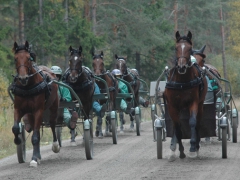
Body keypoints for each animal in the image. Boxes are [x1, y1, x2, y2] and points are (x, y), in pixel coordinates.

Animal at [164, 30, 207, 160]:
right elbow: (177, 128)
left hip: (200, 104)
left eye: (189, 48)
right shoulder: (172, 106)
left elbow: (192, 122)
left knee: (197, 124)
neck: (182, 82)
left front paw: (193, 147)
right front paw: (181, 152)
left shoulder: (193, 102)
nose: (182, 67)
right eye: (176, 48)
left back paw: (196, 146)